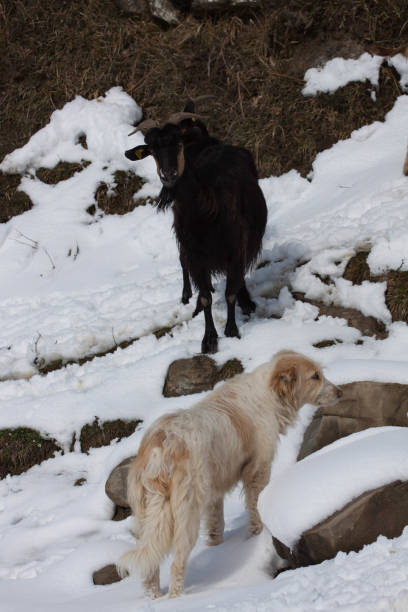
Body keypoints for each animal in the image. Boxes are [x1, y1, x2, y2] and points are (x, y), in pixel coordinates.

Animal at [117, 350, 342, 596]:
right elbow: (256, 507)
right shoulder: (257, 470)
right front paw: (256, 534)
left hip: (147, 516)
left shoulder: (215, 493)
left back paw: (155, 598)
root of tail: (159, 446)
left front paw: (218, 549)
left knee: (150, 568)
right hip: (186, 513)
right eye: (315, 376)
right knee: (176, 564)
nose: (340, 392)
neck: (270, 395)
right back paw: (177, 598)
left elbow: (217, 526)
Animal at [126, 107, 268, 352]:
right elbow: (204, 298)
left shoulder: (234, 248)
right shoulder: (197, 255)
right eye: (152, 150)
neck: (205, 212)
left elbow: (230, 292)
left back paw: (246, 302)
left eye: (178, 143)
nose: (168, 174)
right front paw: (209, 339)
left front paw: (232, 330)